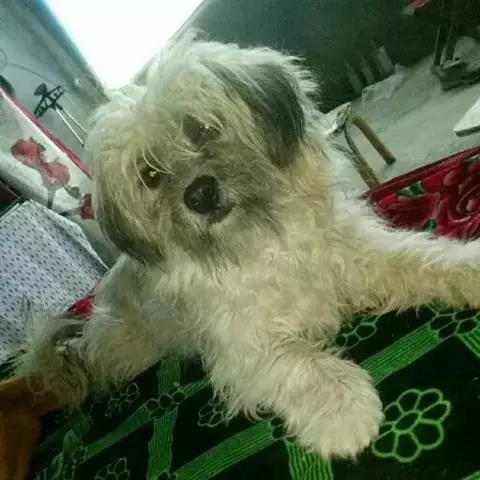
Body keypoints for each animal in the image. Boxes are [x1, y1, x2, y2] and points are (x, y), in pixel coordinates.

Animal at [16, 36, 480, 459]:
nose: (200, 194)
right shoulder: (242, 348)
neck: (264, 238)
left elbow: (421, 257)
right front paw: (342, 408)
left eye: (203, 127)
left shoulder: (358, 256)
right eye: (149, 174)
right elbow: (298, 365)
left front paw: (468, 267)